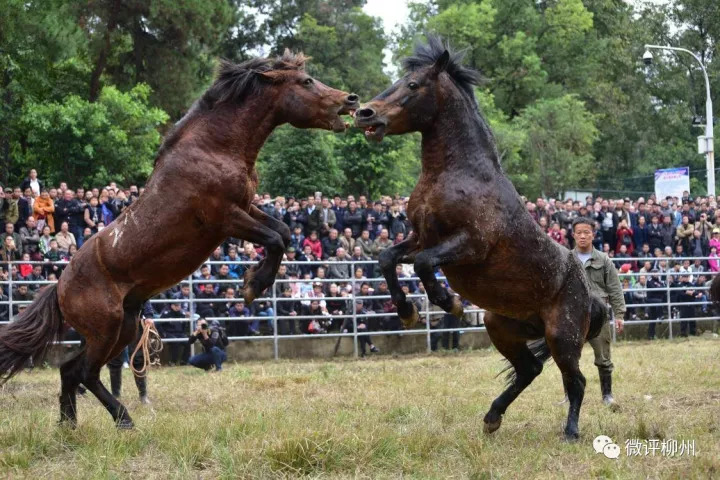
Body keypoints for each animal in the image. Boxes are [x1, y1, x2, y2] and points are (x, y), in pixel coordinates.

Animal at [0, 51, 358, 428]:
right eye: (306, 82)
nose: (351, 100)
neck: (214, 148)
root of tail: (59, 287)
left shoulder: (246, 207)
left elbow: (284, 232)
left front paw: (254, 280)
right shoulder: (225, 218)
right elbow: (275, 238)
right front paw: (252, 286)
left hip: (125, 327)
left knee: (72, 370)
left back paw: (71, 424)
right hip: (106, 330)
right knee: (85, 372)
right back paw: (122, 419)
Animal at [354, 37, 608, 440]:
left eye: (413, 85)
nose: (364, 113)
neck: (457, 175)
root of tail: (592, 298)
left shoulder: (470, 245)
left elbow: (423, 264)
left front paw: (450, 303)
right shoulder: (420, 237)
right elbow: (387, 258)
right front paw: (408, 311)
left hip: (562, 336)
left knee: (576, 381)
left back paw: (570, 431)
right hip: (500, 327)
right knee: (529, 370)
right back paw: (492, 417)